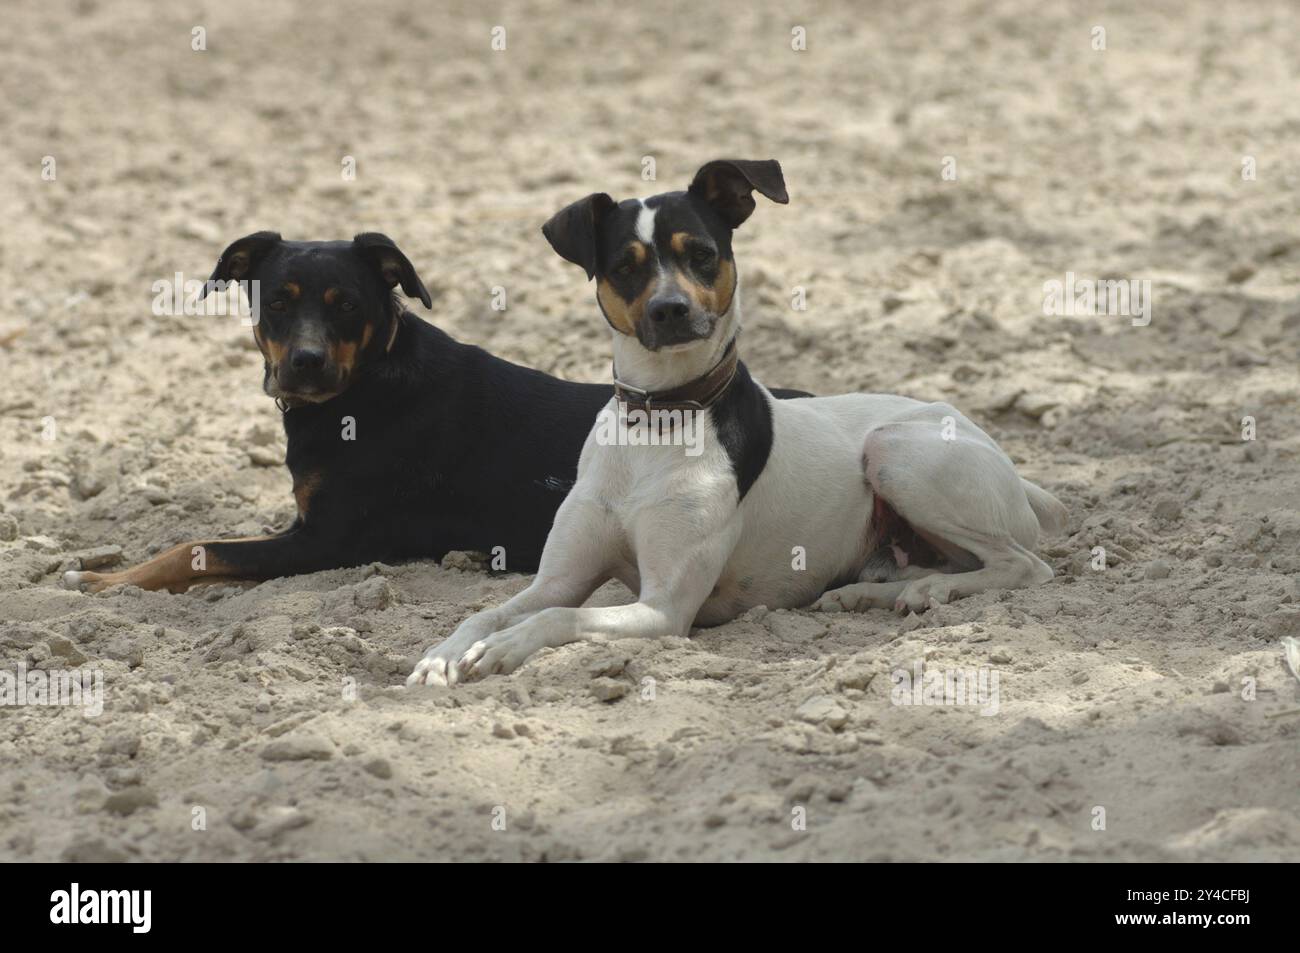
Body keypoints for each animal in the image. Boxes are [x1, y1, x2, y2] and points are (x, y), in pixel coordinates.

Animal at [65, 230, 806, 590]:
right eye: (277, 300)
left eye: (347, 305)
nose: (306, 362)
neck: (366, 387)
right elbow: (198, 540)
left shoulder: (327, 540)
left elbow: (192, 550)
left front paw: (105, 581)